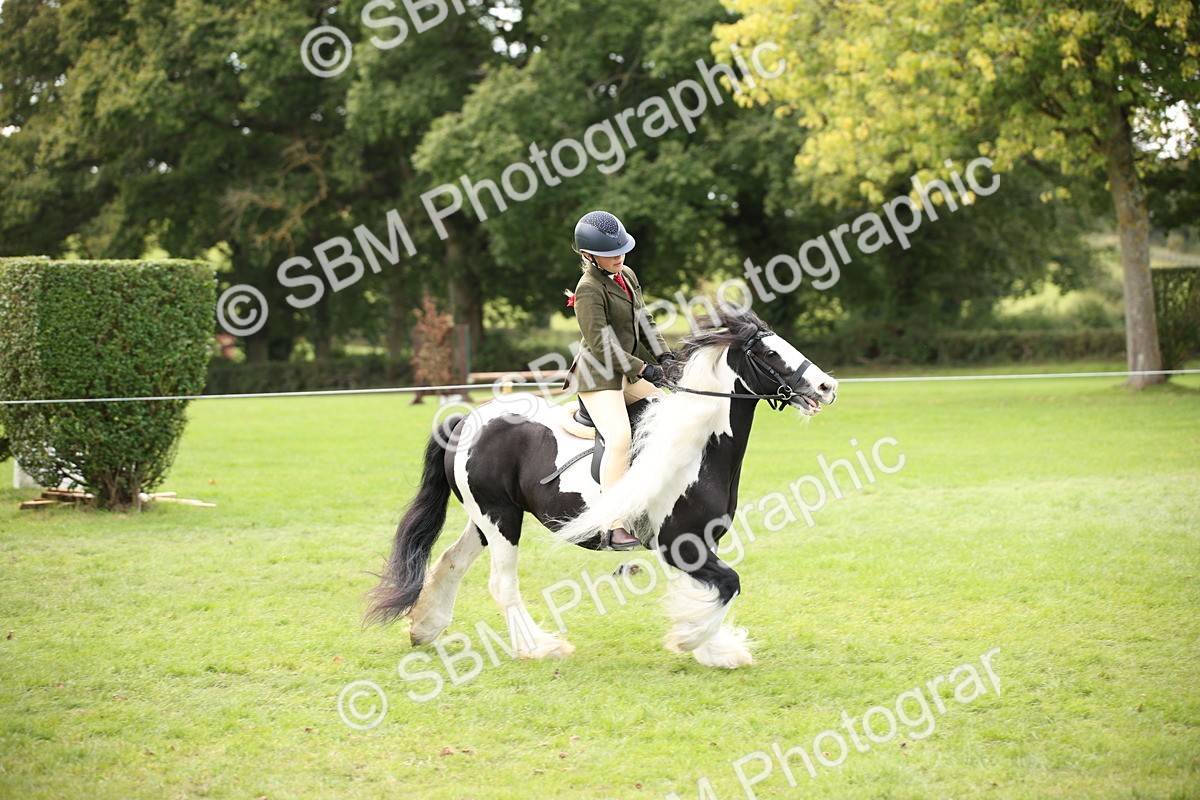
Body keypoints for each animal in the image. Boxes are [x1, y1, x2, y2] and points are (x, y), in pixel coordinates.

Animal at [365, 306, 838, 668]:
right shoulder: (680, 545)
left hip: (487, 519)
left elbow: (712, 588)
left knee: (451, 561)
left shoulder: (698, 543)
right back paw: (540, 647)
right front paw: (693, 640)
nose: (827, 386)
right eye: (769, 352)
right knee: (502, 584)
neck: (697, 445)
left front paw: (714, 648)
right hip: (501, 520)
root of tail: (466, 420)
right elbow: (728, 584)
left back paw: (425, 628)